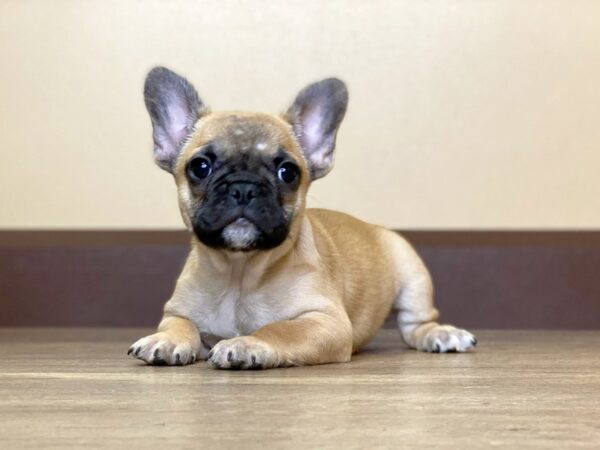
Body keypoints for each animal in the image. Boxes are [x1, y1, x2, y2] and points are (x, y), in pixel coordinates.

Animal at [129, 67, 476, 370]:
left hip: (411, 271)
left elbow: (280, 329)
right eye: (200, 167)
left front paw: (247, 343)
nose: (244, 187)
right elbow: (181, 324)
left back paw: (440, 334)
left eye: (288, 172)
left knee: (416, 323)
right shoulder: (178, 311)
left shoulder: (326, 322)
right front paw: (166, 339)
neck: (239, 272)